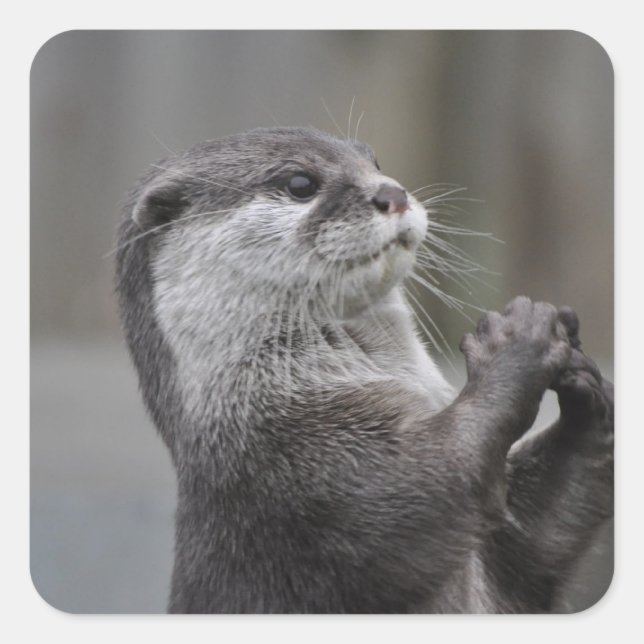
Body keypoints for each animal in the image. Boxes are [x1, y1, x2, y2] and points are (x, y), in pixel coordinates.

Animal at [115, 127, 613, 613]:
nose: (393, 193)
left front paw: (587, 394)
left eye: (373, 163)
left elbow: (535, 544)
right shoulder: (306, 474)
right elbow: (437, 479)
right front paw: (518, 341)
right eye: (300, 183)